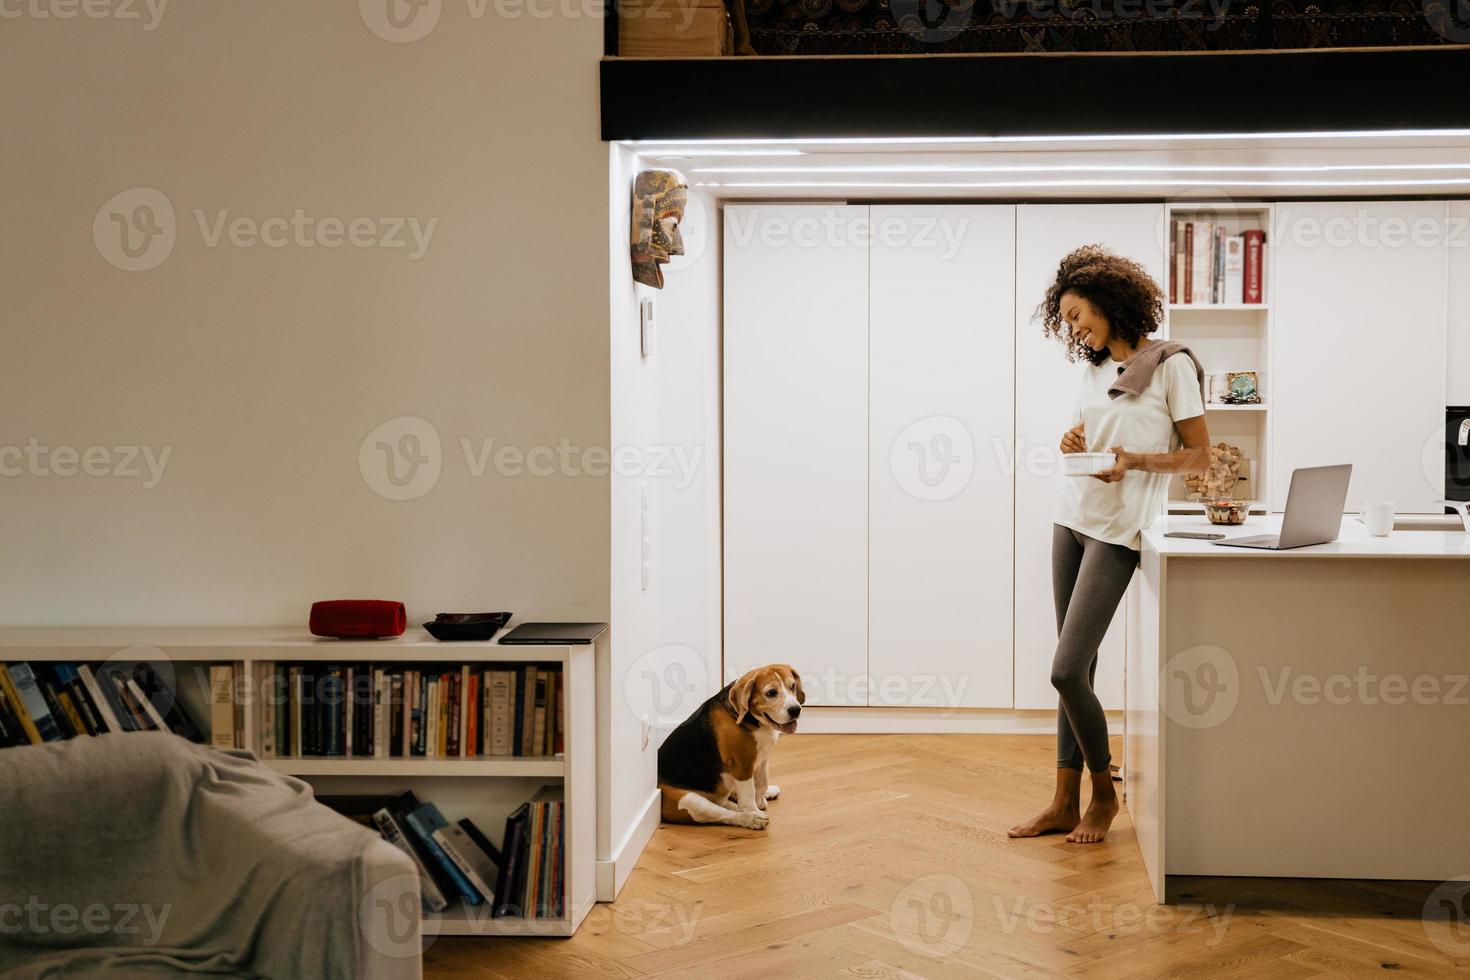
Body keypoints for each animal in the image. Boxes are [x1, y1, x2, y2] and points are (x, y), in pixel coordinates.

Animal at [661, 664, 811, 834]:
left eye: (792, 686)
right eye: (771, 693)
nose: (796, 710)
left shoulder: (763, 758)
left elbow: (761, 783)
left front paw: (761, 800)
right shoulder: (742, 766)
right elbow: (748, 796)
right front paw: (754, 810)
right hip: (691, 801)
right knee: (723, 813)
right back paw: (751, 818)